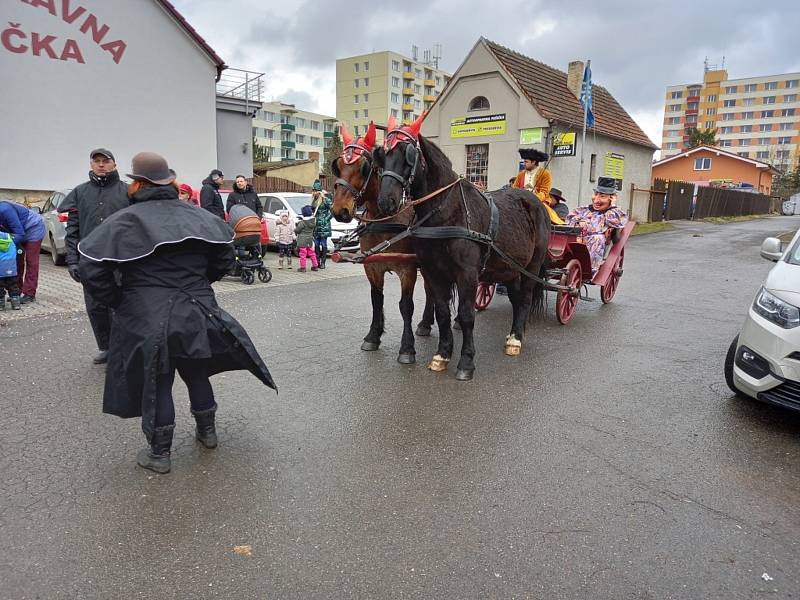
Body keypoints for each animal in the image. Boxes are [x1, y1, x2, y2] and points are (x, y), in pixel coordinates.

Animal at [328, 122, 434, 364]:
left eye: (364, 167)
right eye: (338, 166)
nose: (340, 211)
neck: (385, 218)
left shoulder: (407, 268)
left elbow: (406, 306)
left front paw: (407, 348)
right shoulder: (372, 267)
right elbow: (376, 300)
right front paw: (373, 336)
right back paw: (425, 324)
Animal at [376, 115, 552, 382]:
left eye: (408, 153)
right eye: (382, 154)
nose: (386, 201)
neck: (447, 212)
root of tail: (535, 202)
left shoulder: (467, 274)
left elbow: (467, 315)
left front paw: (466, 362)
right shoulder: (433, 272)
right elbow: (442, 313)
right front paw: (442, 355)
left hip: (530, 267)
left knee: (525, 298)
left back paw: (516, 340)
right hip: (511, 268)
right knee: (515, 298)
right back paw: (513, 334)